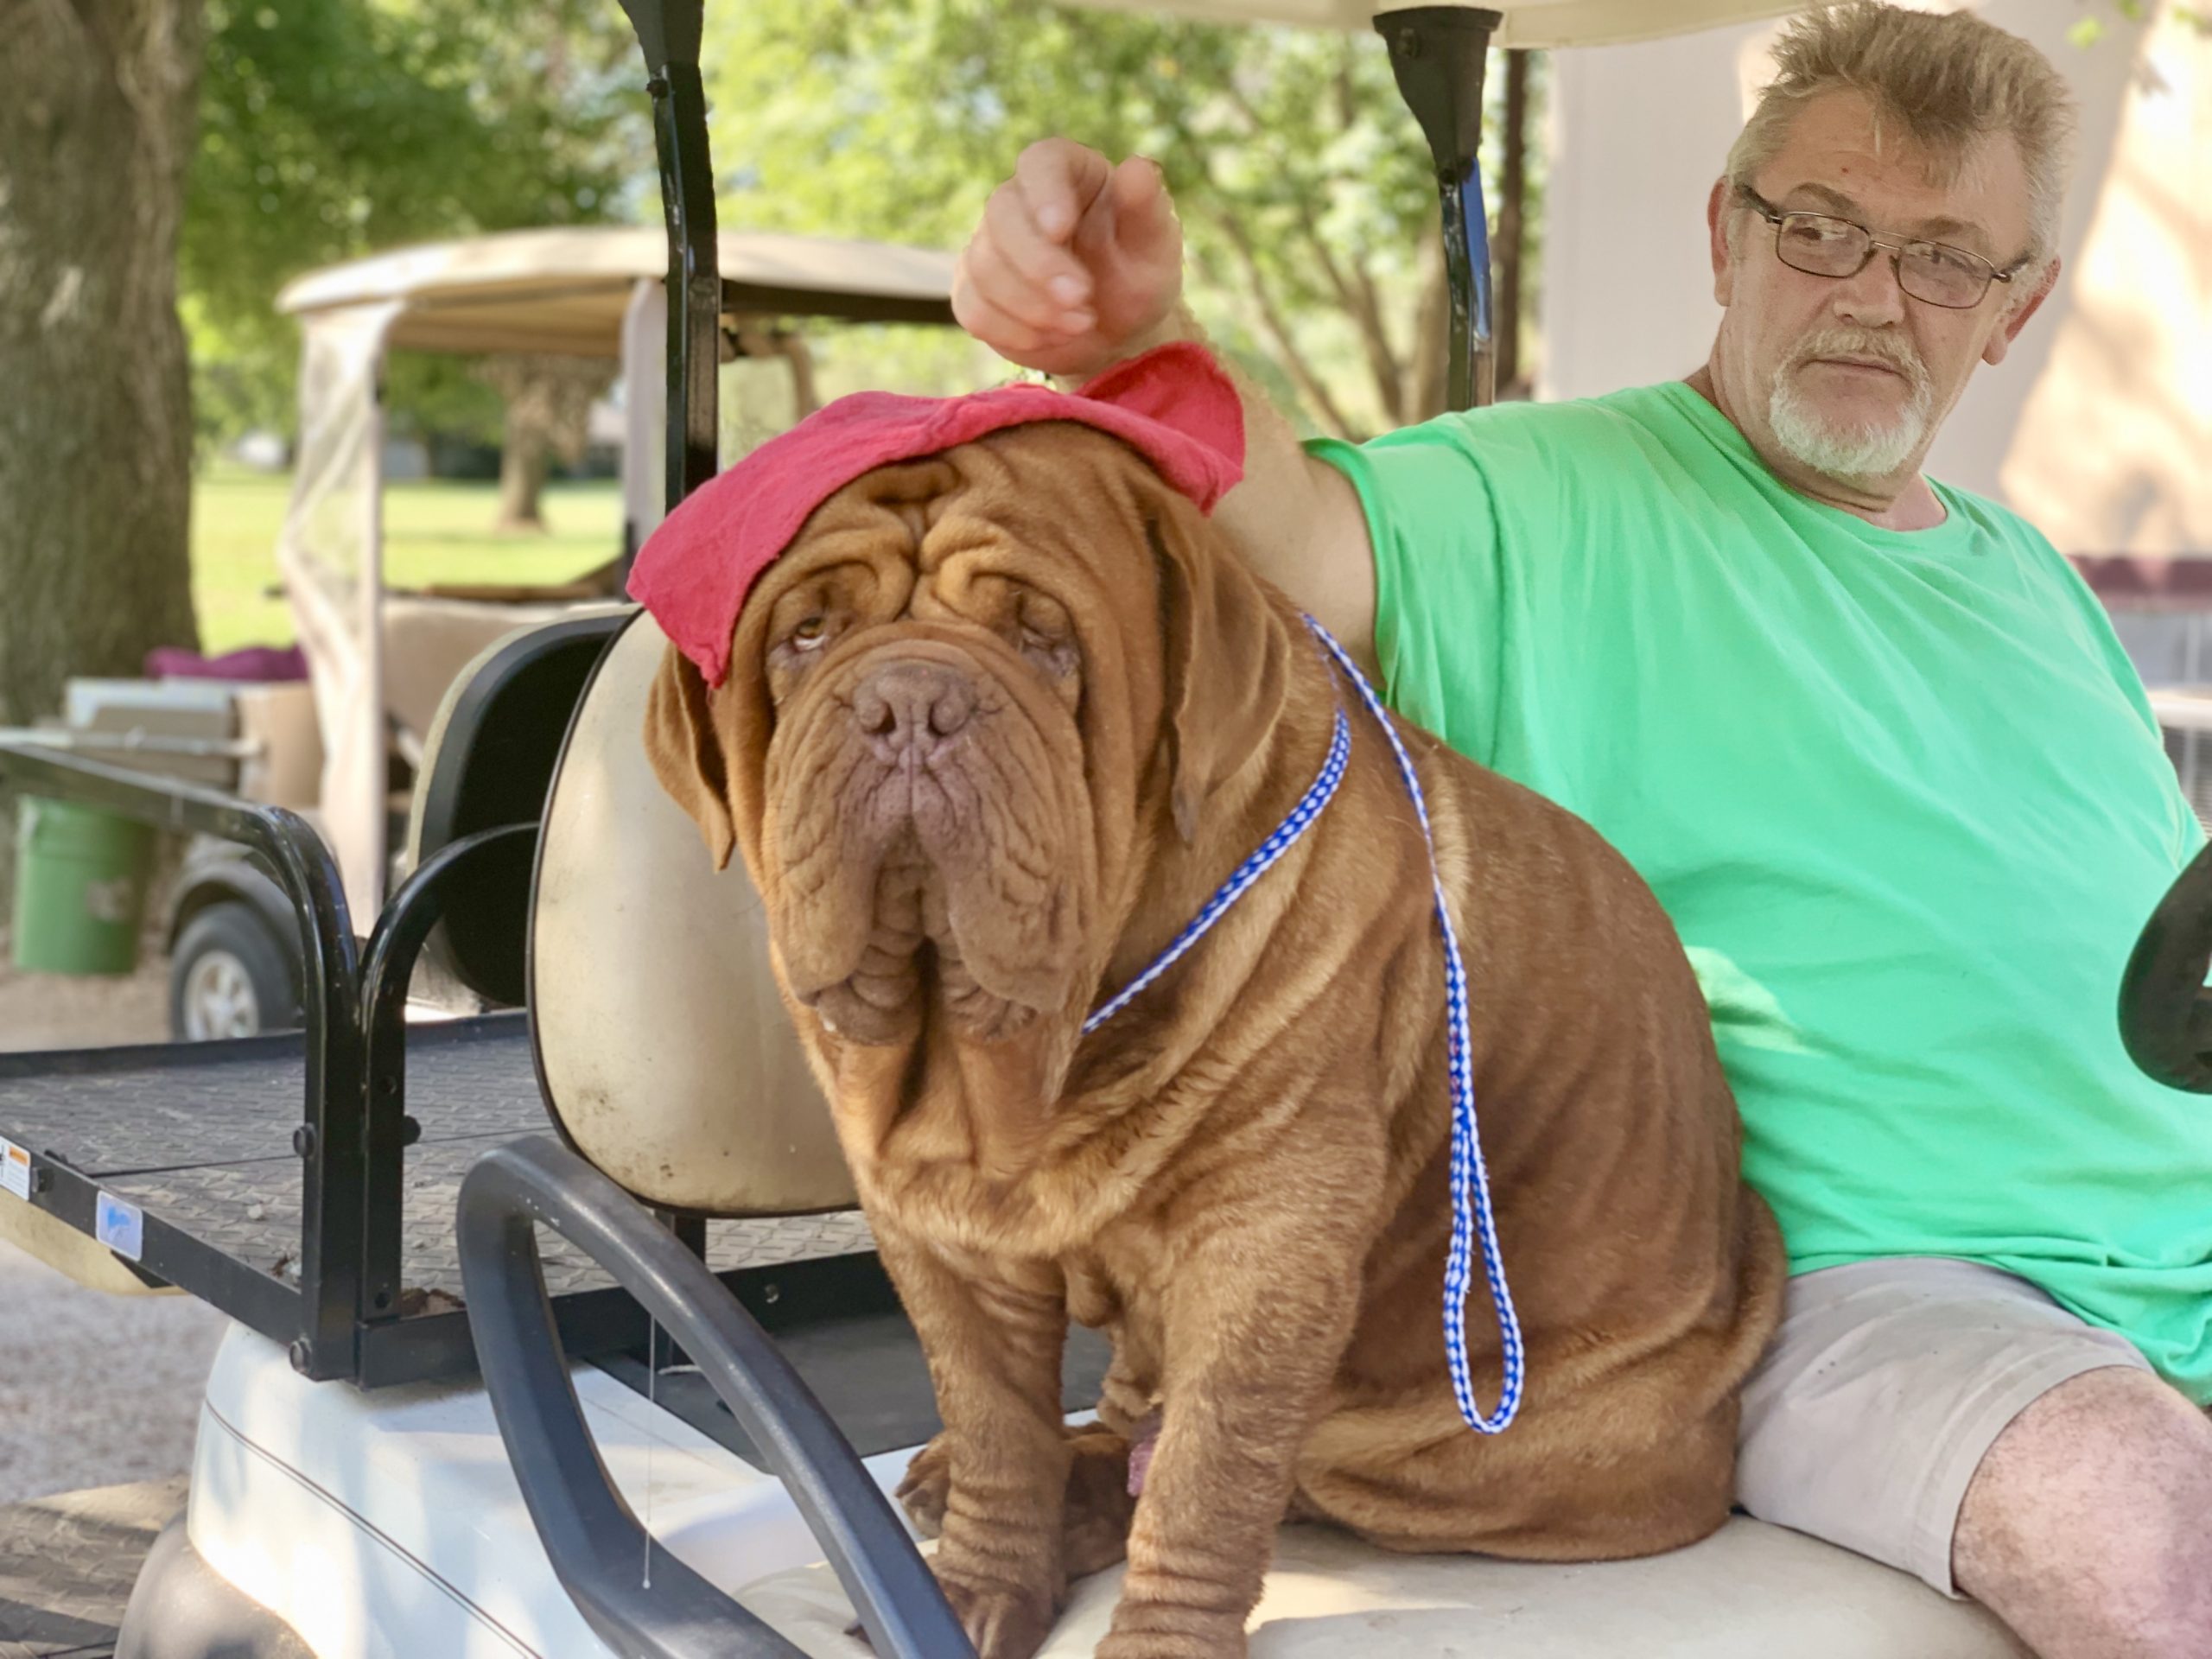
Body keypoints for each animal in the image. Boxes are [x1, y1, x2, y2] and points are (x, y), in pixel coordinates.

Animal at [645, 424, 1787, 1659]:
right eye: (805, 635)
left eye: (1043, 639)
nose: (909, 702)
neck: (1038, 1066)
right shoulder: (941, 1229)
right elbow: (996, 1421)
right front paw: (979, 1580)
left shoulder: (1267, 1244)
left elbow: (1212, 1472)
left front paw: (1158, 1638)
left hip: (1485, 1455)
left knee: (1264, 1470)